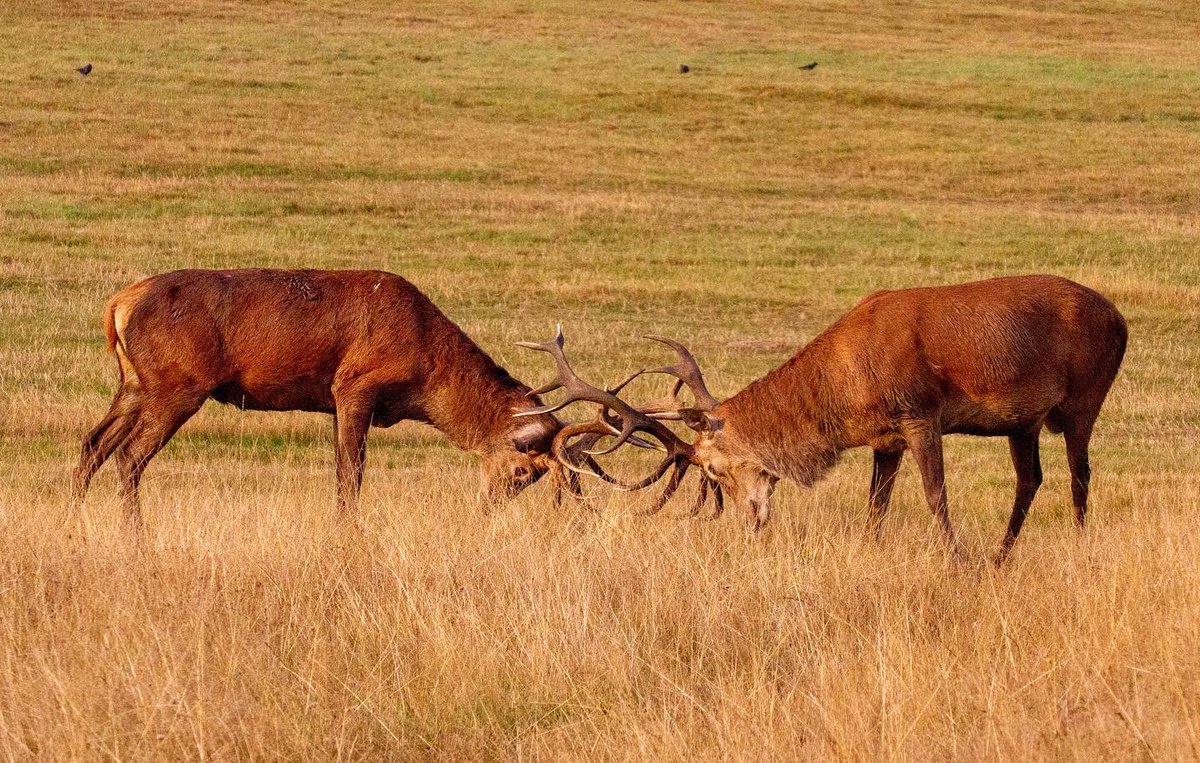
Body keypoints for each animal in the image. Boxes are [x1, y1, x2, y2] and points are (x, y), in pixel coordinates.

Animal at [73, 268, 584, 526]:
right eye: (523, 472)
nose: (485, 512)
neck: (425, 375)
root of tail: (118, 304)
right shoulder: (355, 385)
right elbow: (350, 474)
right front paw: (346, 533)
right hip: (177, 385)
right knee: (129, 456)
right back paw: (135, 536)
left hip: (135, 383)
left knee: (93, 443)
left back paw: (76, 522)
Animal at [518, 275, 1128, 562]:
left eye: (713, 471)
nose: (752, 520)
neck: (850, 389)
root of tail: (1121, 320)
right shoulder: (887, 436)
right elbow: (876, 503)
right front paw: (872, 549)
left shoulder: (920, 412)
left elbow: (936, 496)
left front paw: (957, 562)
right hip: (1023, 421)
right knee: (1031, 478)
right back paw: (1002, 557)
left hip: (1085, 397)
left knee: (1079, 474)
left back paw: (1073, 543)